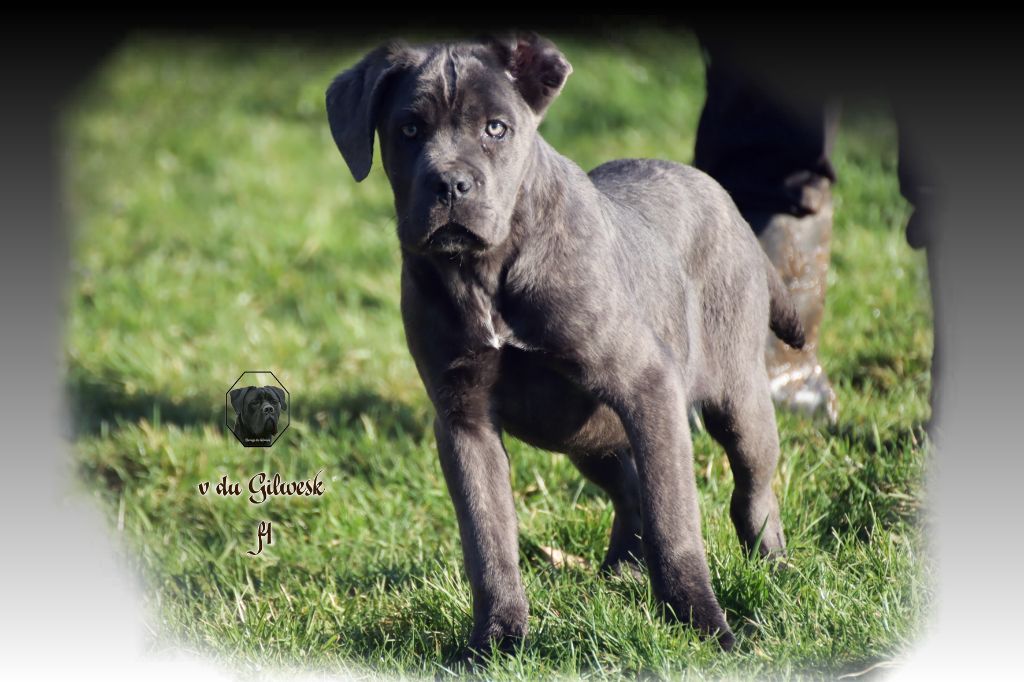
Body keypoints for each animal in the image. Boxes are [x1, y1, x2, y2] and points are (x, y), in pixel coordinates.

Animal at [323, 33, 802, 655]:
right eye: (407, 129)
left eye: (496, 128)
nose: (450, 184)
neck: (488, 272)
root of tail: (727, 202)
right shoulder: (463, 419)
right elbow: (488, 540)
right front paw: (497, 640)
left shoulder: (648, 387)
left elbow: (675, 521)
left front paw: (704, 627)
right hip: (587, 437)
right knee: (629, 487)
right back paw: (620, 571)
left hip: (735, 397)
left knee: (749, 487)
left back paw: (772, 568)